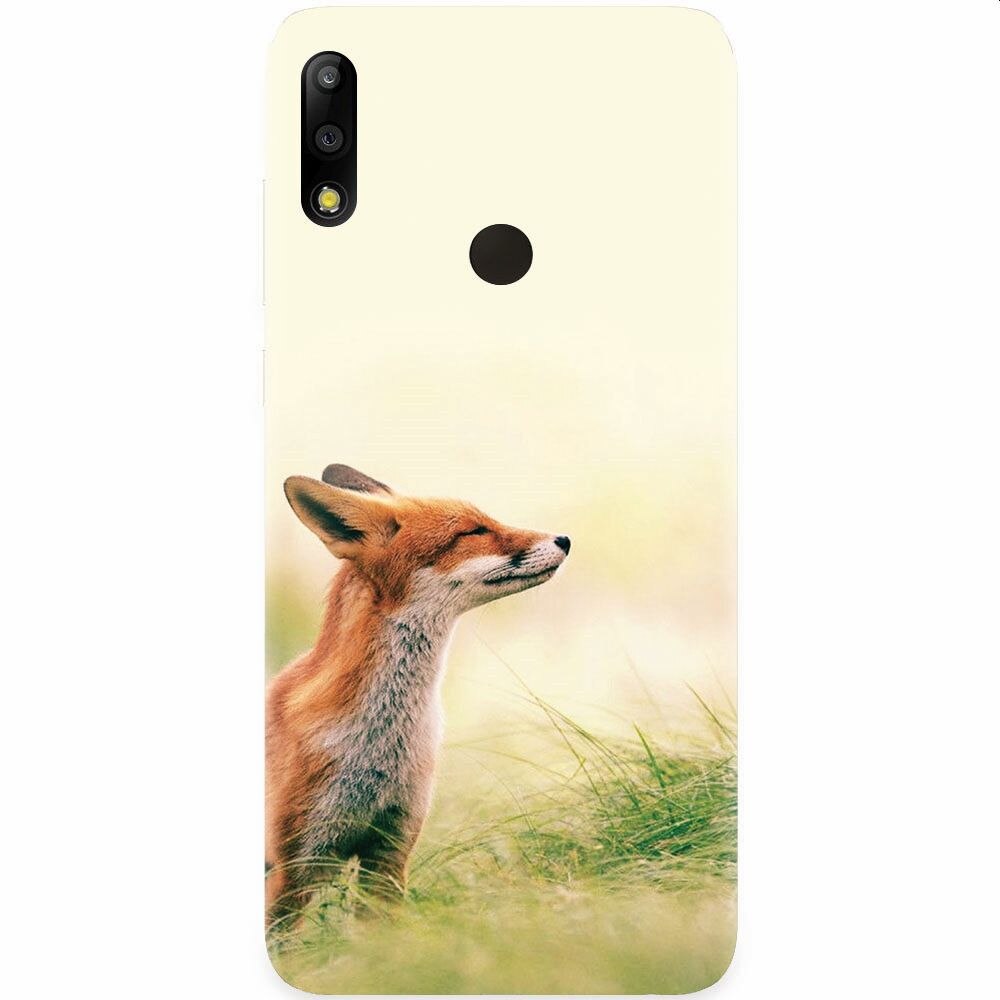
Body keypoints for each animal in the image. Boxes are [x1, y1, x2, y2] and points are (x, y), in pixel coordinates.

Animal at [266, 463, 570, 928]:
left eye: (487, 520)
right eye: (473, 531)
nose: (565, 540)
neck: (380, 745)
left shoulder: (391, 850)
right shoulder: (293, 868)